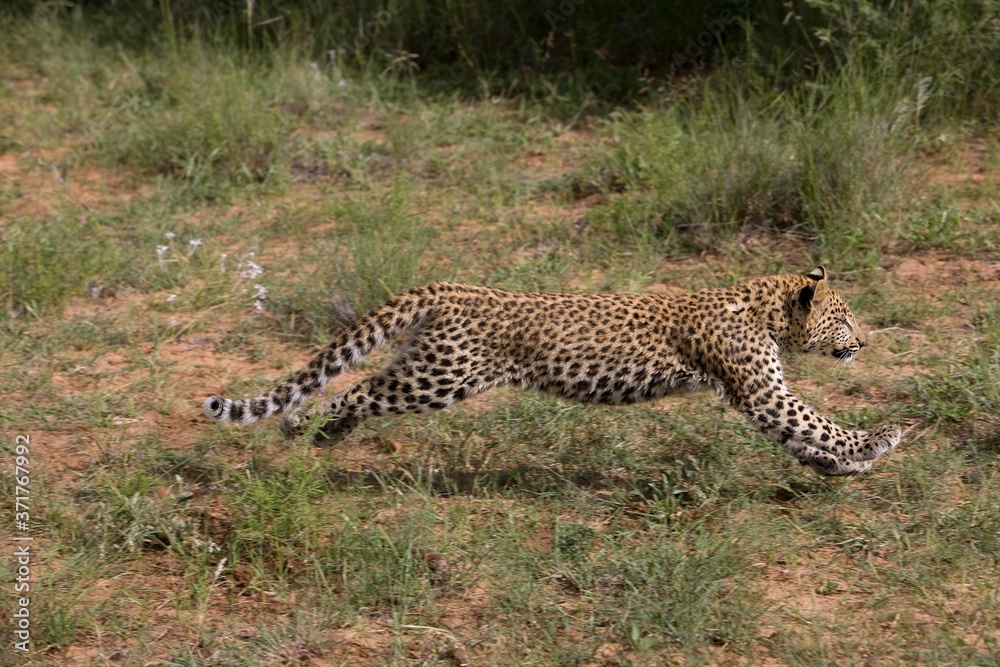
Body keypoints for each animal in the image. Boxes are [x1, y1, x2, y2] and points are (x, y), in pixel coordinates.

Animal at [203, 266, 901, 476]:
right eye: (844, 317)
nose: (864, 342)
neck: (766, 309)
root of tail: (449, 286)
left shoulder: (764, 397)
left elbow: (803, 436)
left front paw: (840, 467)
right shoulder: (762, 392)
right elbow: (818, 420)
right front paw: (880, 440)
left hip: (426, 367)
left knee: (360, 389)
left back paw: (324, 434)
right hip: (439, 378)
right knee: (351, 391)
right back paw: (305, 428)